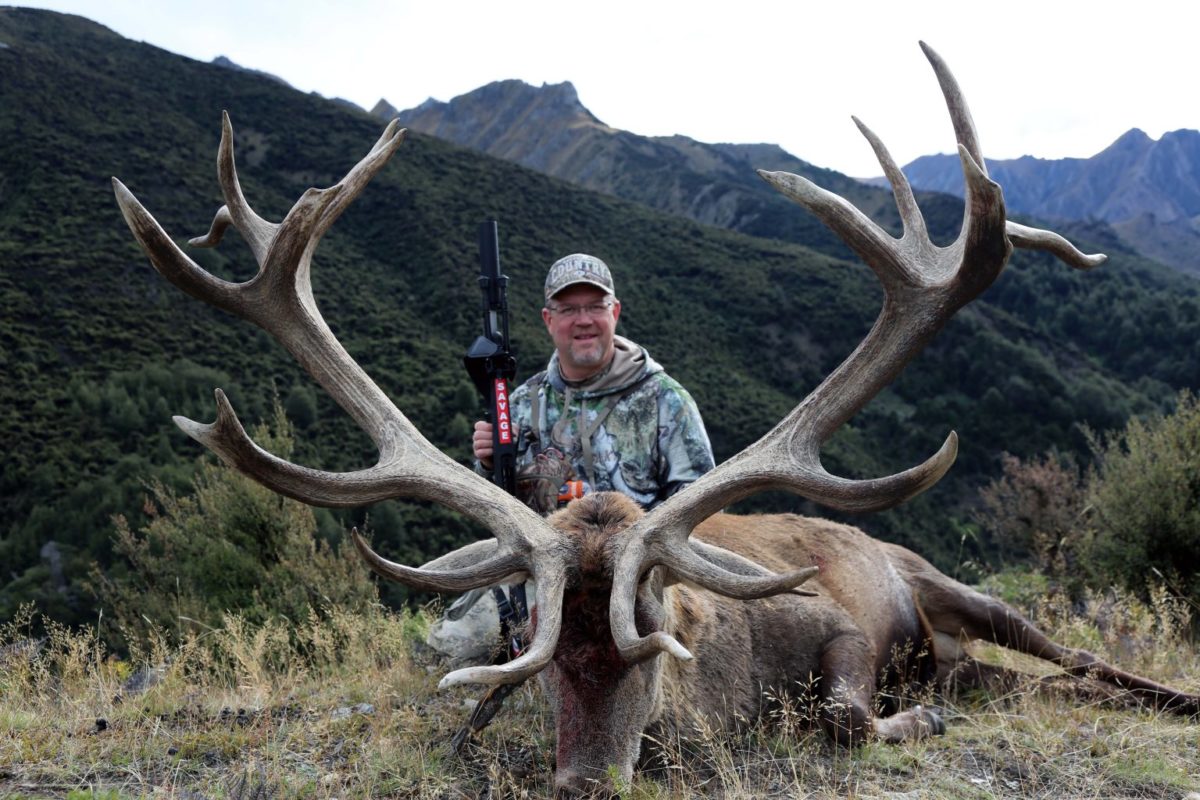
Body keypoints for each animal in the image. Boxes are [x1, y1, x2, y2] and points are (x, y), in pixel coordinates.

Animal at [113, 42, 1198, 798]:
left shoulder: (840, 621)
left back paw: (1154, 696)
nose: (584, 779)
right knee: (1017, 677)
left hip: (941, 578)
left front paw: (911, 724)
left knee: (1073, 655)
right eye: (543, 657)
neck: (727, 676)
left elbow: (844, 717)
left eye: (657, 636)